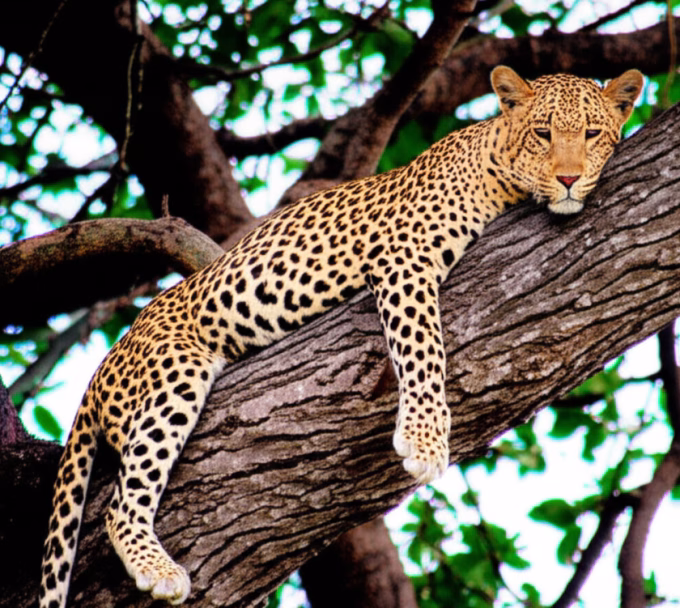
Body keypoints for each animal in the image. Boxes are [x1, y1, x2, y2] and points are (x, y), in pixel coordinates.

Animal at [39, 65, 643, 607]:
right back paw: (158, 569)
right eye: (543, 133)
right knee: (121, 503)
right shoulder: (405, 257)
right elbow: (424, 348)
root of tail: (102, 367)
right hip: (174, 370)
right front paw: (425, 440)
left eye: (593, 134)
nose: (568, 179)